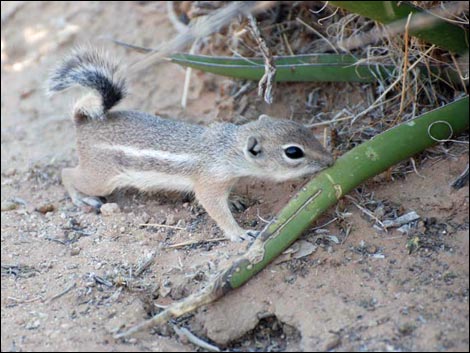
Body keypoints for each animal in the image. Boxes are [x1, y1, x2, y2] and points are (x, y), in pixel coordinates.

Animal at [48, 49, 334, 241]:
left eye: (304, 128)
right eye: (293, 152)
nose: (331, 160)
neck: (227, 148)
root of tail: (84, 123)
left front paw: (236, 199)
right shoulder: (209, 184)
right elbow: (215, 210)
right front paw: (239, 234)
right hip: (101, 178)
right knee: (67, 174)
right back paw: (81, 198)